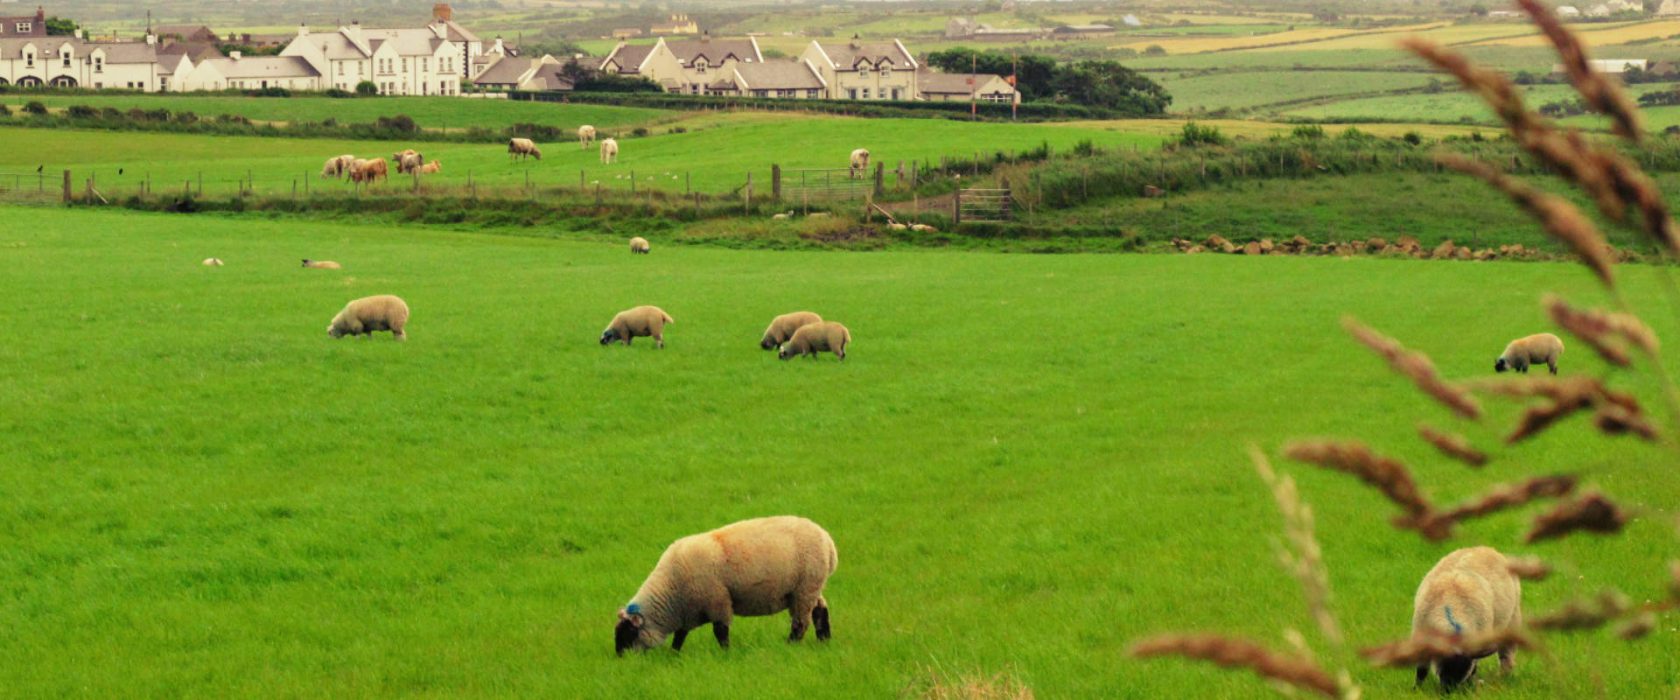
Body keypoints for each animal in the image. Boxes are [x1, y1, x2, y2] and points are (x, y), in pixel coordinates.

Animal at [614, 513, 836, 654]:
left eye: (629, 632)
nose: (621, 658)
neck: (671, 592)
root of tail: (828, 541)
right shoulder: (690, 610)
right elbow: (680, 634)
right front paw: (674, 654)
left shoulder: (717, 601)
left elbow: (720, 631)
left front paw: (725, 653)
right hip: (810, 587)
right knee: (820, 610)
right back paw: (824, 640)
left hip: (805, 588)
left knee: (800, 622)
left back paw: (790, 644)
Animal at [1404, 543, 1525, 688]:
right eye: (1442, 664)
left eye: (1465, 668)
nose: (1449, 689)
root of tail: (1486, 548)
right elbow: (1421, 670)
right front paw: (1417, 688)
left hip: (1512, 618)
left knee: (1507, 654)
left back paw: (1504, 676)